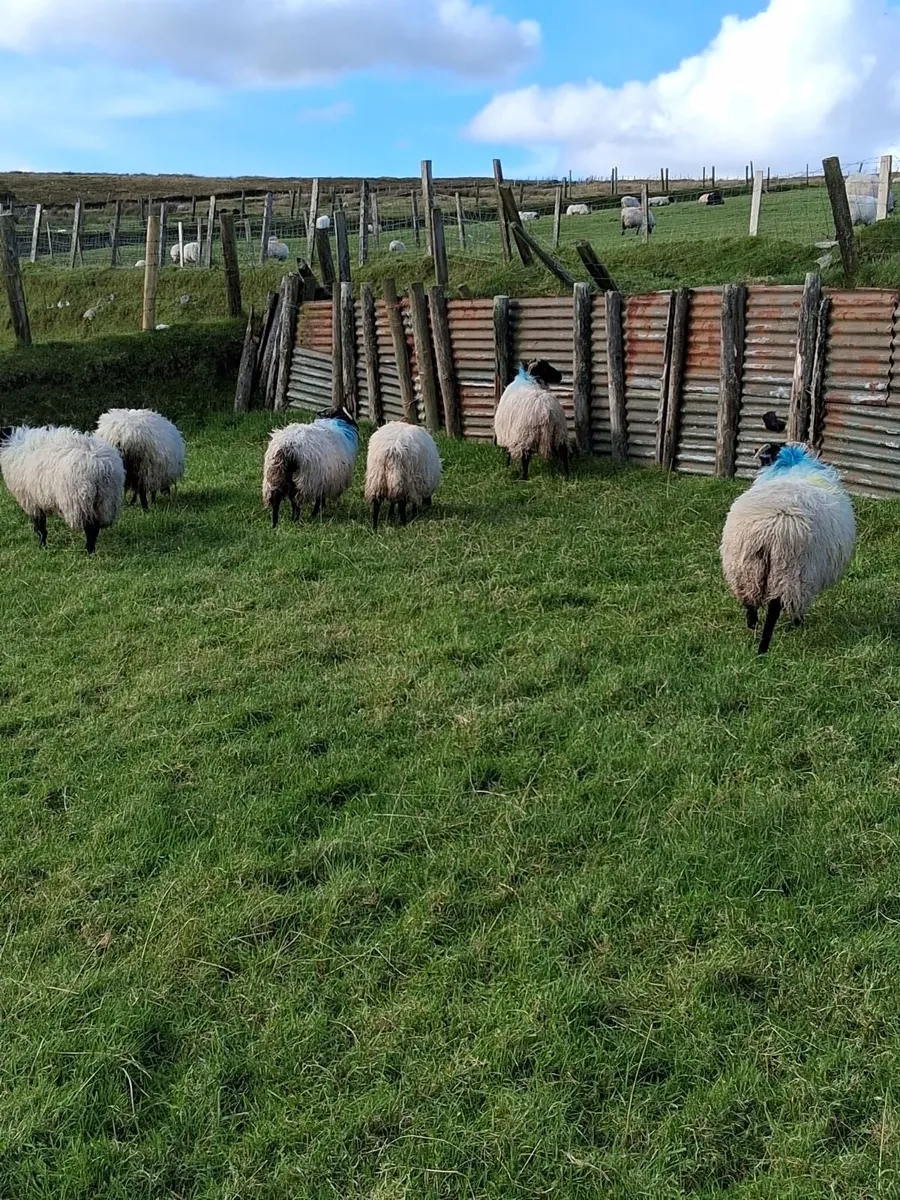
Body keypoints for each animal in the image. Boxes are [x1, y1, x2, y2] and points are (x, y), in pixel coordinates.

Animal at [0, 425, 125, 554]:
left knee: (90, 528)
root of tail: (101, 465)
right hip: (106, 500)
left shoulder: (31, 501)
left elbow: (40, 527)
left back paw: (89, 551)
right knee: (95, 527)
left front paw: (42, 546)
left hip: (81, 500)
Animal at [720, 442, 856, 655]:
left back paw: (753, 627)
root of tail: (771, 529)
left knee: (750, 600)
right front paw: (798, 622)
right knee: (775, 608)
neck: (790, 465)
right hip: (791, 569)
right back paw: (765, 647)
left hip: (745, 566)